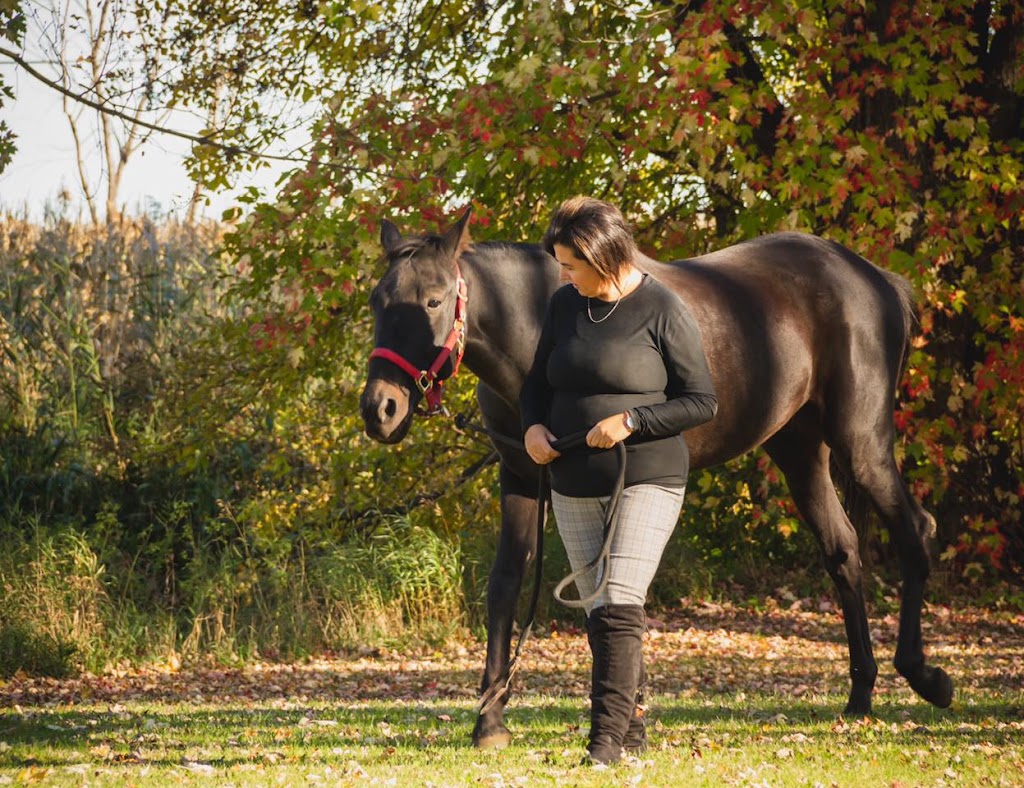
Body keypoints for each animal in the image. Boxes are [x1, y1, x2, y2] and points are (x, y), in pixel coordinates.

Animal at [360, 205, 950, 745]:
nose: (380, 409)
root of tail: (873, 277)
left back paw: (926, 677)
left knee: (914, 532)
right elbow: (507, 584)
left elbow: (613, 584)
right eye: (376, 302)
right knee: (843, 551)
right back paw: (860, 693)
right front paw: (490, 720)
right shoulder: (523, 475)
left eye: (434, 301)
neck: (531, 322)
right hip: (800, 452)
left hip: (862, 445)